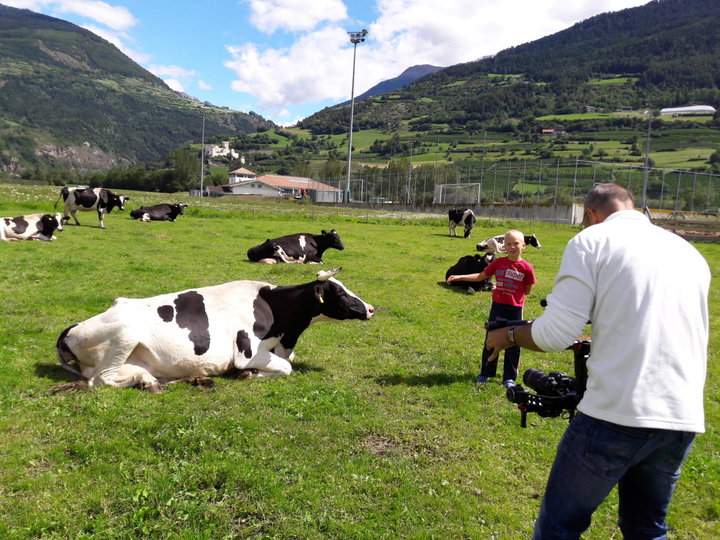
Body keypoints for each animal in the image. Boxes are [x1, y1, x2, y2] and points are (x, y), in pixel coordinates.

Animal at [53, 268, 374, 392]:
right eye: (340, 293)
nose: (370, 308)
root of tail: (70, 329)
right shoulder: (248, 352)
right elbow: (286, 368)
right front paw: (250, 374)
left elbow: (290, 363)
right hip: (124, 335)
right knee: (101, 380)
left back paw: (161, 379)